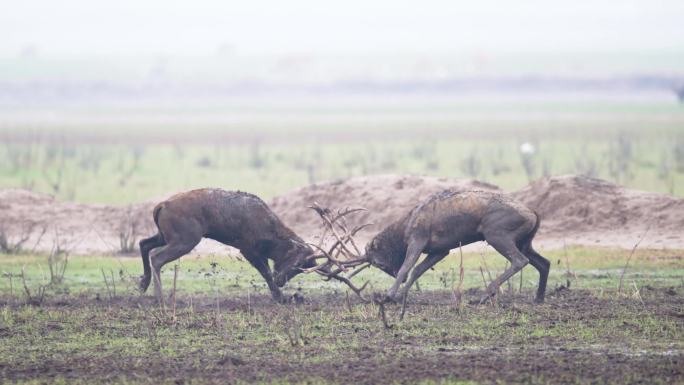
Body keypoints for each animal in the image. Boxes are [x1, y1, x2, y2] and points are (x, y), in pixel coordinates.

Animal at [140, 189, 320, 304]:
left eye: (304, 268)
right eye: (298, 262)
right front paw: (281, 298)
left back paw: (143, 284)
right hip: (185, 239)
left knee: (144, 243)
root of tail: (161, 206)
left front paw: (282, 296)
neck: (271, 236)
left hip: (165, 236)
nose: (281, 281)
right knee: (156, 257)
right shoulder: (248, 248)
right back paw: (159, 298)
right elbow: (266, 273)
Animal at [308, 190, 552, 306]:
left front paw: (389, 296)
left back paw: (484, 295)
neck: (403, 229)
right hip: (525, 240)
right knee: (543, 262)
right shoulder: (440, 249)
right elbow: (417, 270)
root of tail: (535, 214)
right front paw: (401, 296)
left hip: (496, 233)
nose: (390, 270)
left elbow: (407, 268)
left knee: (520, 260)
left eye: (377, 262)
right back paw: (538, 297)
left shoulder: (418, 238)